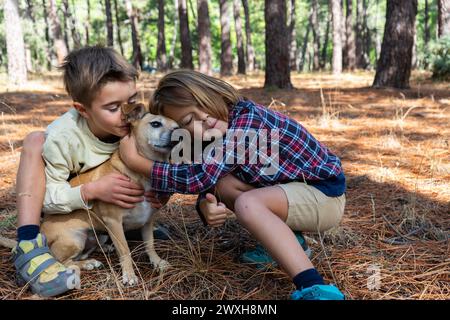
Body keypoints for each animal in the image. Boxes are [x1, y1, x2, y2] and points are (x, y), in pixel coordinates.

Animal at [0, 103, 179, 288]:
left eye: (177, 127)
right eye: (156, 124)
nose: (177, 136)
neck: (141, 175)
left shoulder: (147, 221)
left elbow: (150, 244)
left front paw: (157, 262)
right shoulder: (114, 222)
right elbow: (125, 250)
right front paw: (129, 275)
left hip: (98, 235)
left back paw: (102, 250)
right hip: (75, 239)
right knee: (63, 261)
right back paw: (87, 263)